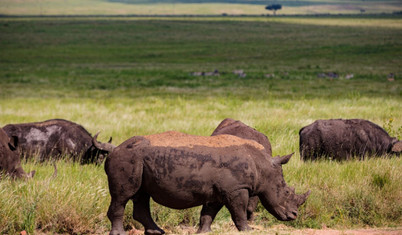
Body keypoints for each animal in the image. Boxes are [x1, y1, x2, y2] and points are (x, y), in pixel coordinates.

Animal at [96, 131, 310, 234]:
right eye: (286, 192)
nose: (294, 215)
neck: (263, 166)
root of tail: (114, 149)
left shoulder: (219, 190)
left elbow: (209, 212)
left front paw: (203, 232)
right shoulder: (236, 188)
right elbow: (239, 211)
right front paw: (248, 230)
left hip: (138, 160)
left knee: (141, 195)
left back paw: (157, 232)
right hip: (127, 159)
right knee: (123, 195)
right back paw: (120, 234)